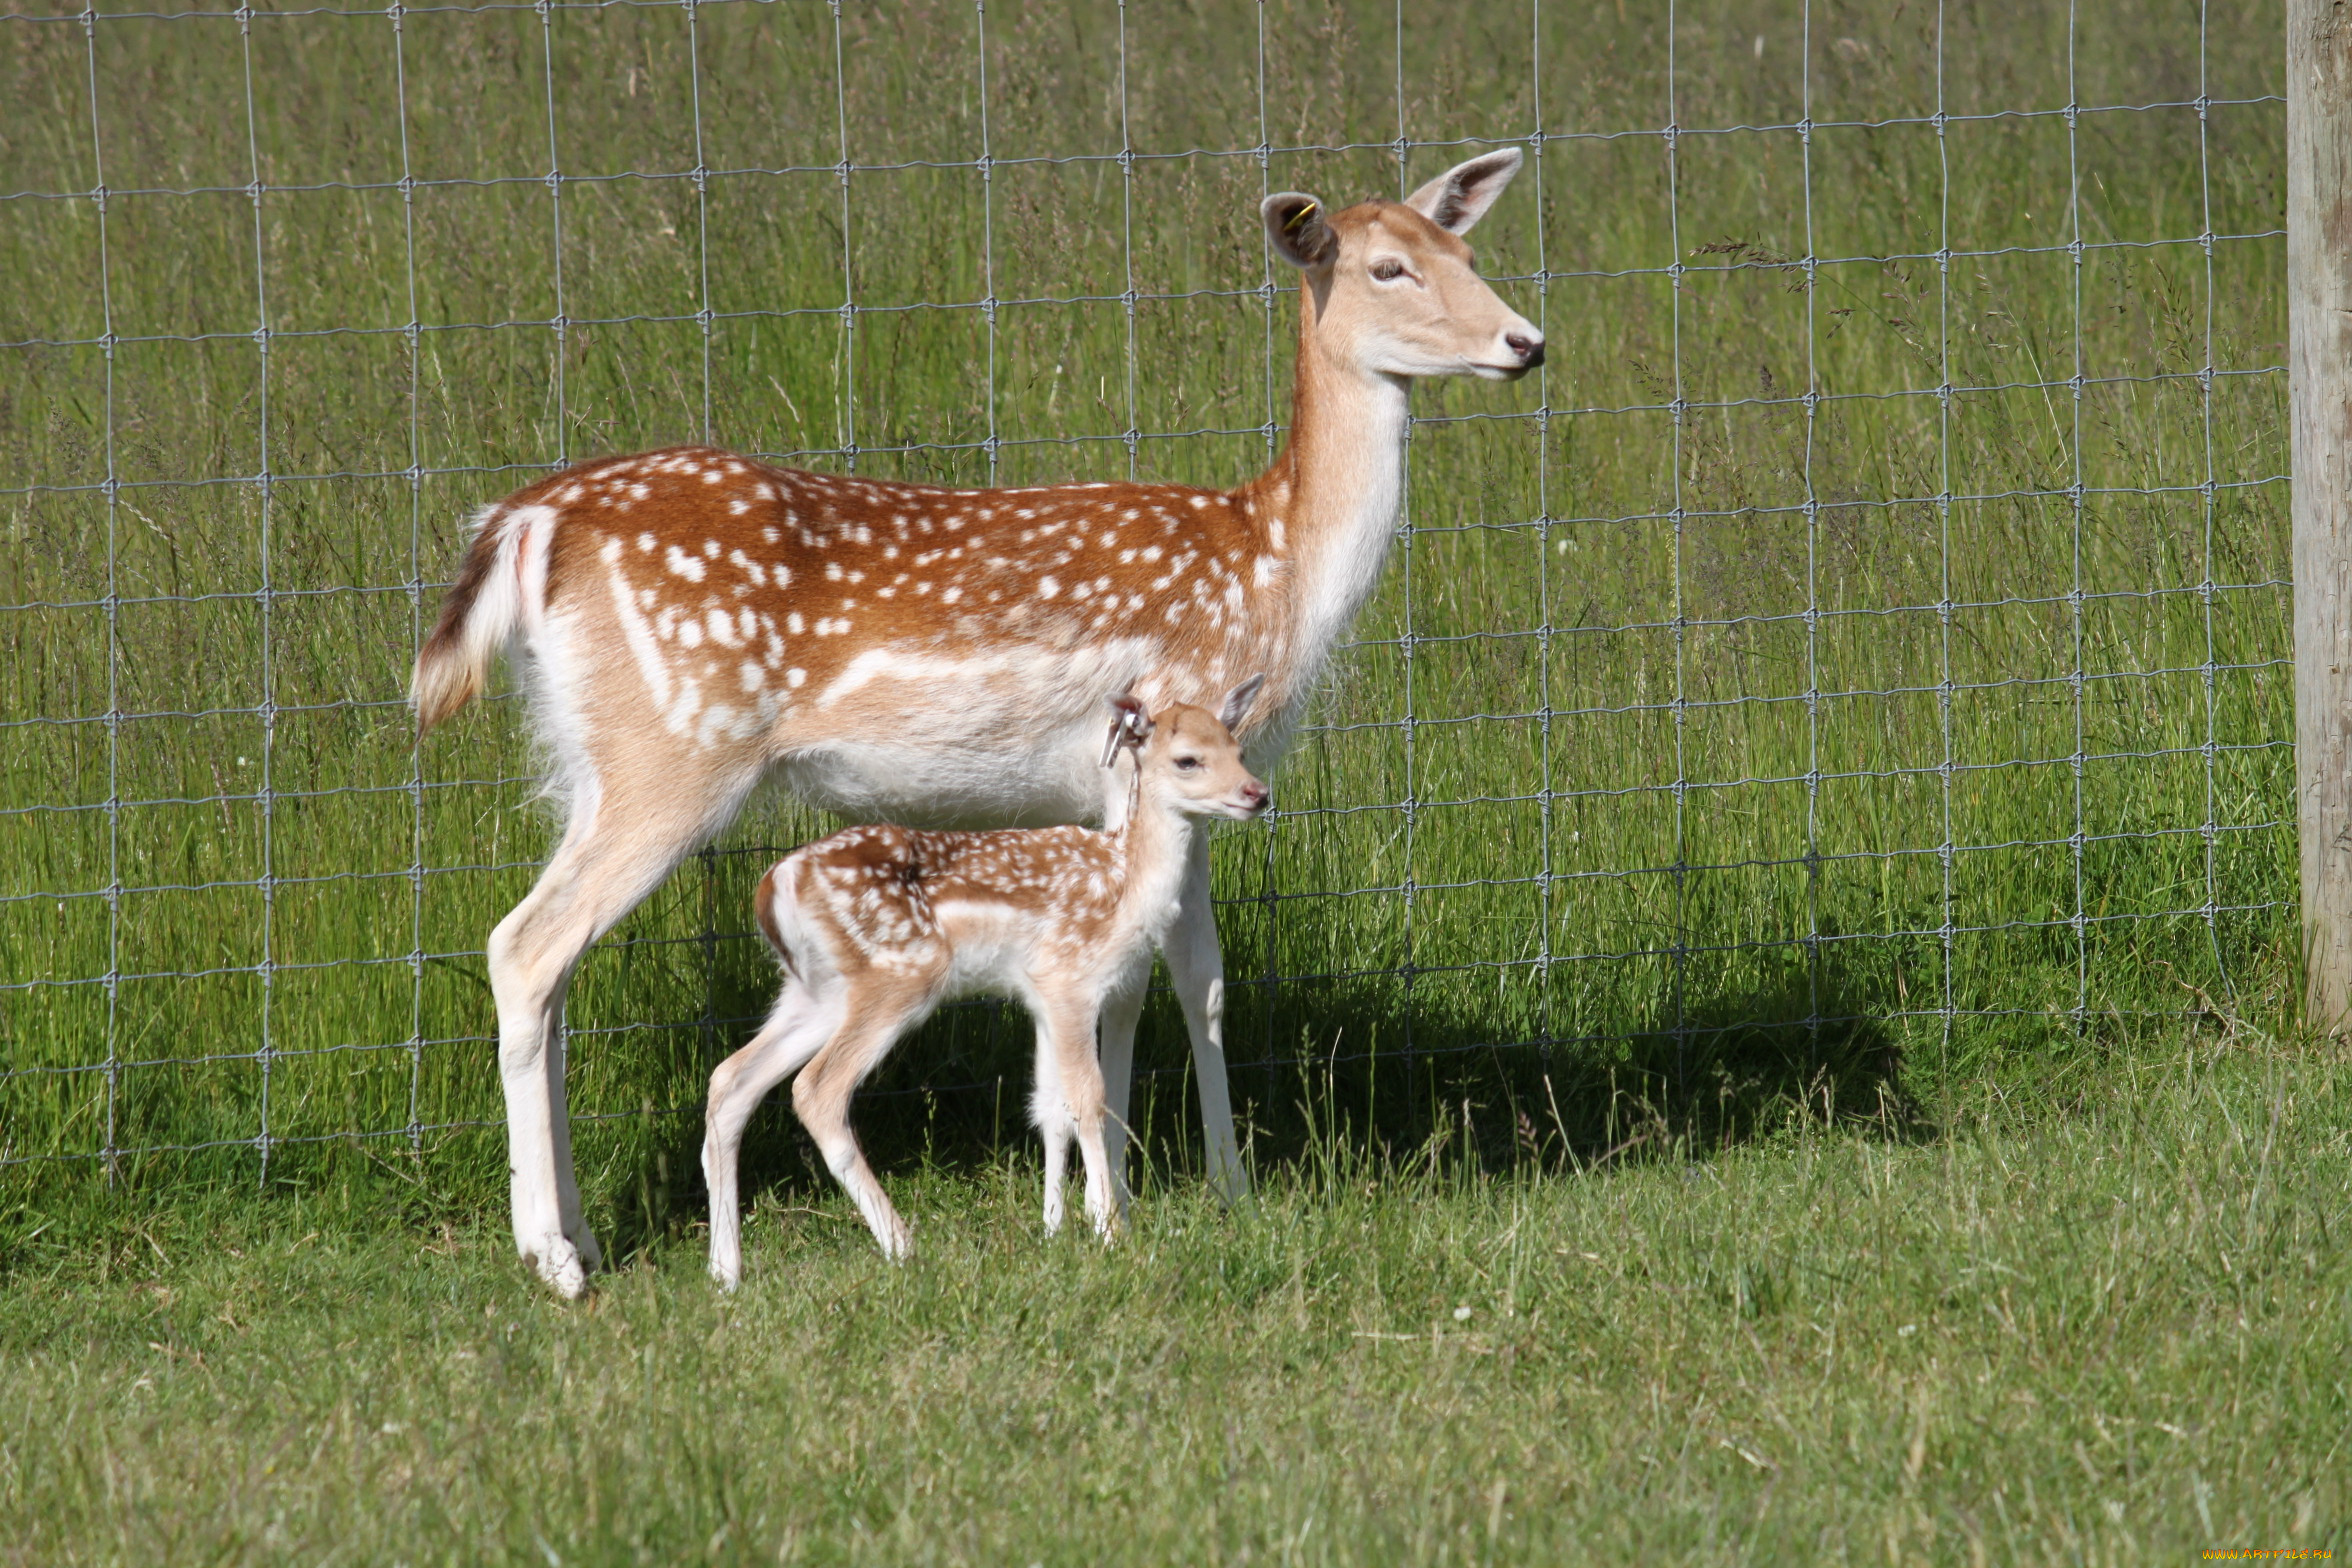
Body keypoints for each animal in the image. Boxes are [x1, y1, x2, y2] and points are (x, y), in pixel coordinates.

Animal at [413, 146, 1542, 1297]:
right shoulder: (1154, 753)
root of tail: (526, 522)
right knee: (528, 945)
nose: (1525, 342)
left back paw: (588, 1235)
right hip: (674, 749)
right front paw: (1209, 1190)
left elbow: (1159, 983)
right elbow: (1186, 980)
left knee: (551, 958)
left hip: (589, 756)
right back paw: (556, 1256)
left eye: (1468, 253)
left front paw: (1121, 1184)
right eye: (1388, 266)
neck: (1276, 566)